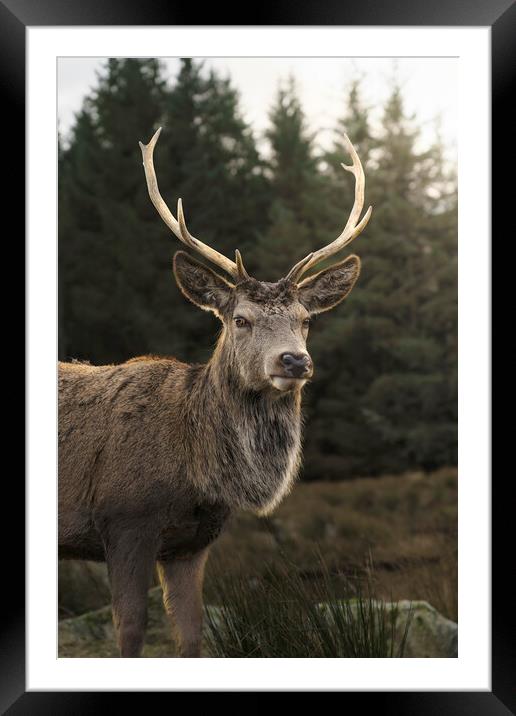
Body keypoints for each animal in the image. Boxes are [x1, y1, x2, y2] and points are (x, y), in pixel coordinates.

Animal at [57, 126, 370, 656]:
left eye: (305, 320)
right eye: (240, 319)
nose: (294, 360)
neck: (196, 474)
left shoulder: (192, 542)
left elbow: (191, 635)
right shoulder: (123, 521)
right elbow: (130, 631)